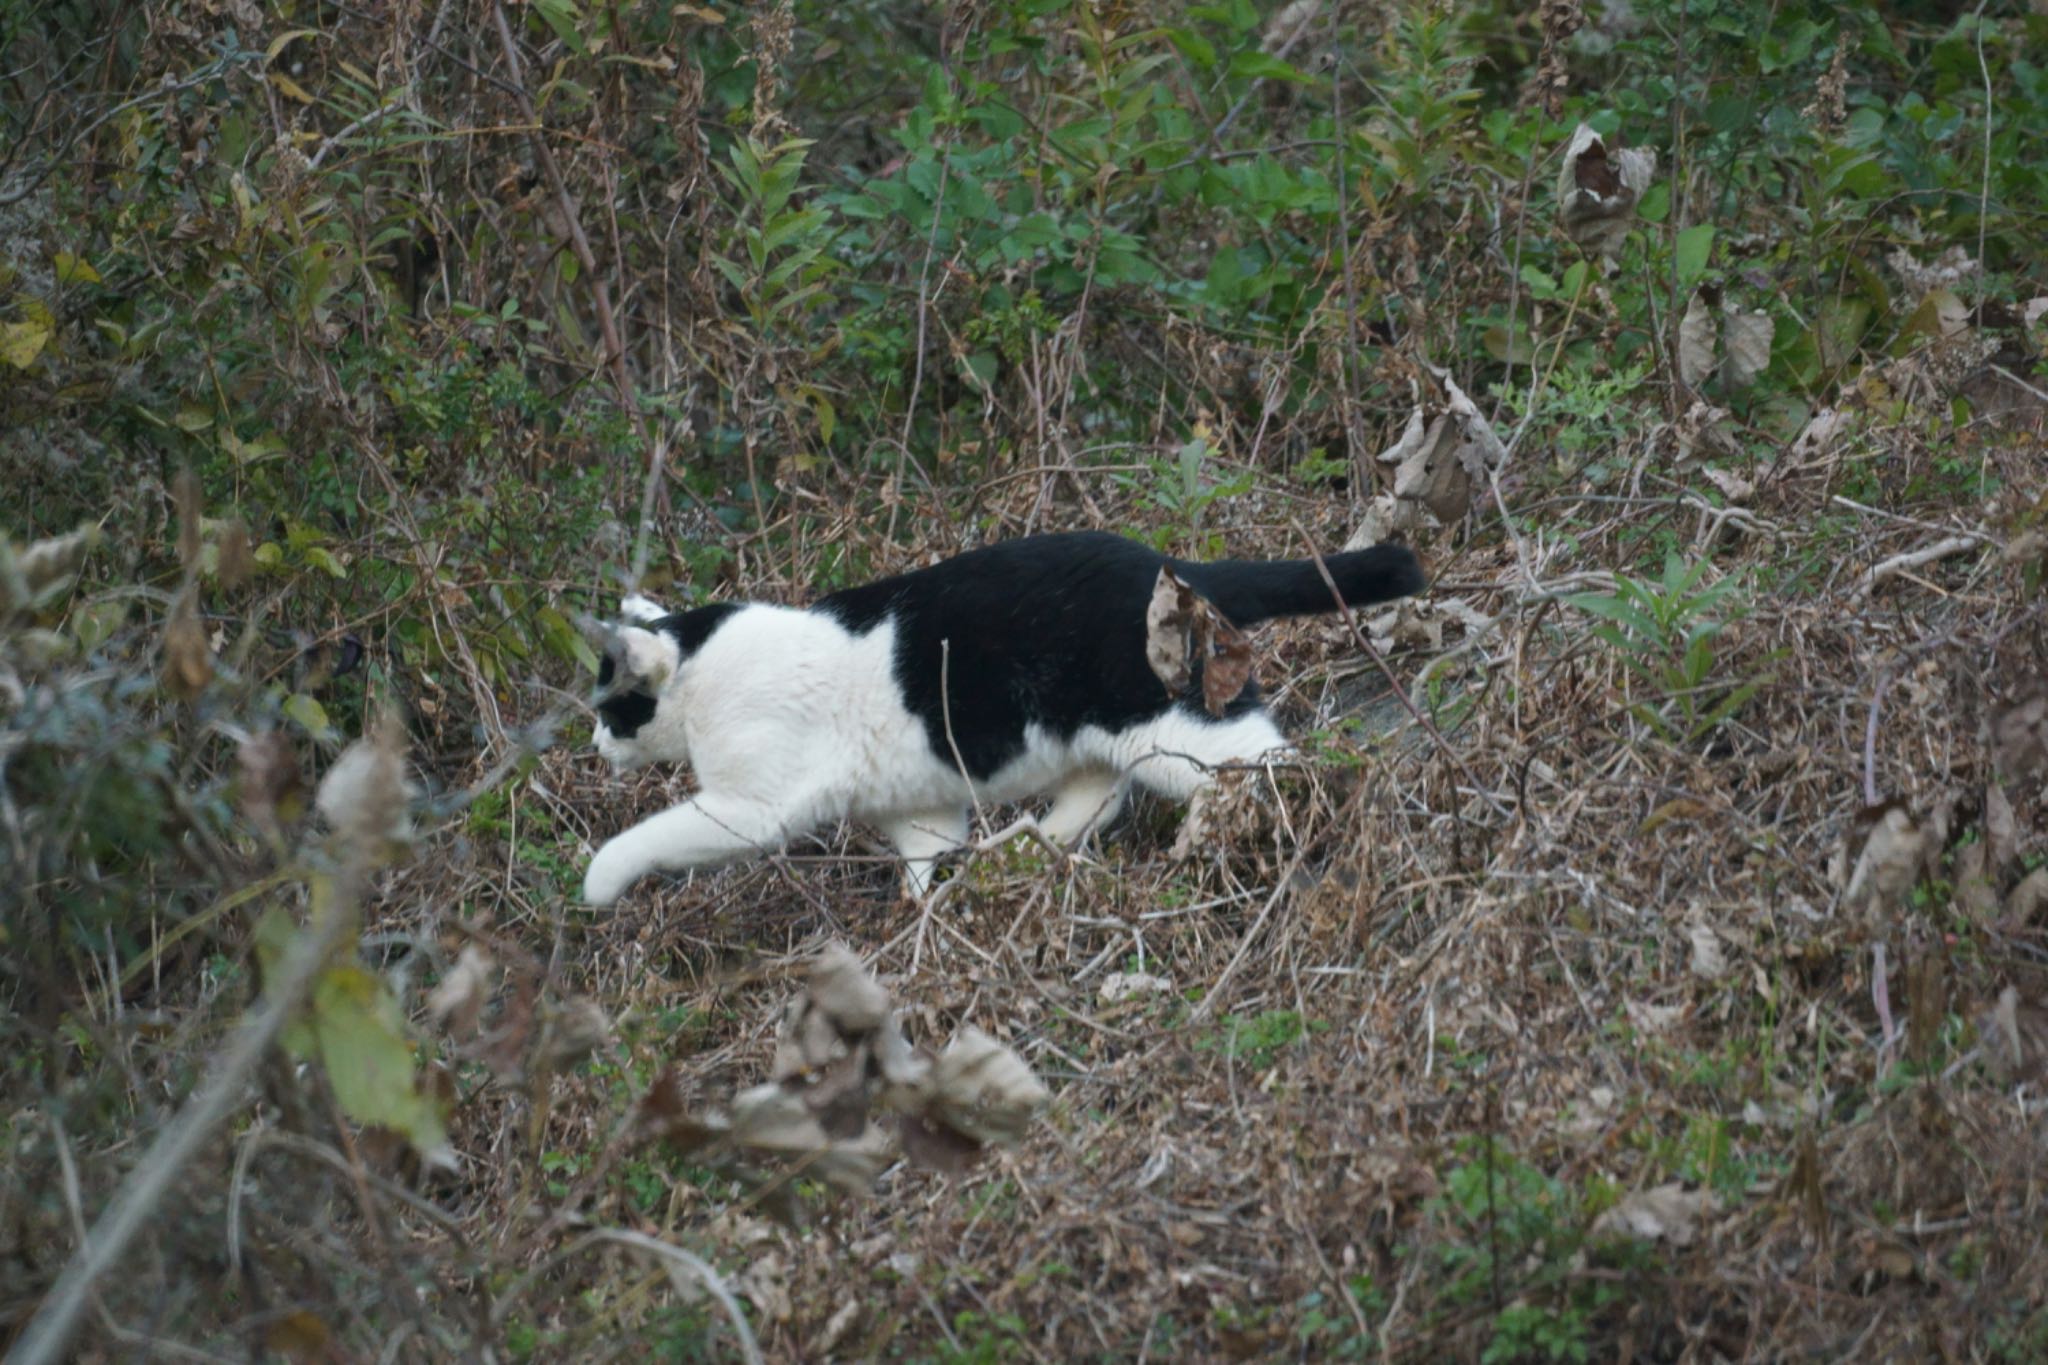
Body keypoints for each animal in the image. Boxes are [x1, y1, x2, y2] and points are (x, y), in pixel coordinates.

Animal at [585, 532, 1425, 908]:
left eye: (609, 707)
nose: (593, 742)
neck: (701, 669)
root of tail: (1174, 566)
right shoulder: (921, 805)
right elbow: (926, 856)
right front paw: (925, 913)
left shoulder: (748, 807)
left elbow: (650, 836)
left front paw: (597, 883)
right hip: (1090, 739)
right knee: (1096, 797)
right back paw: (1024, 853)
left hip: (1168, 718)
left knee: (1266, 761)